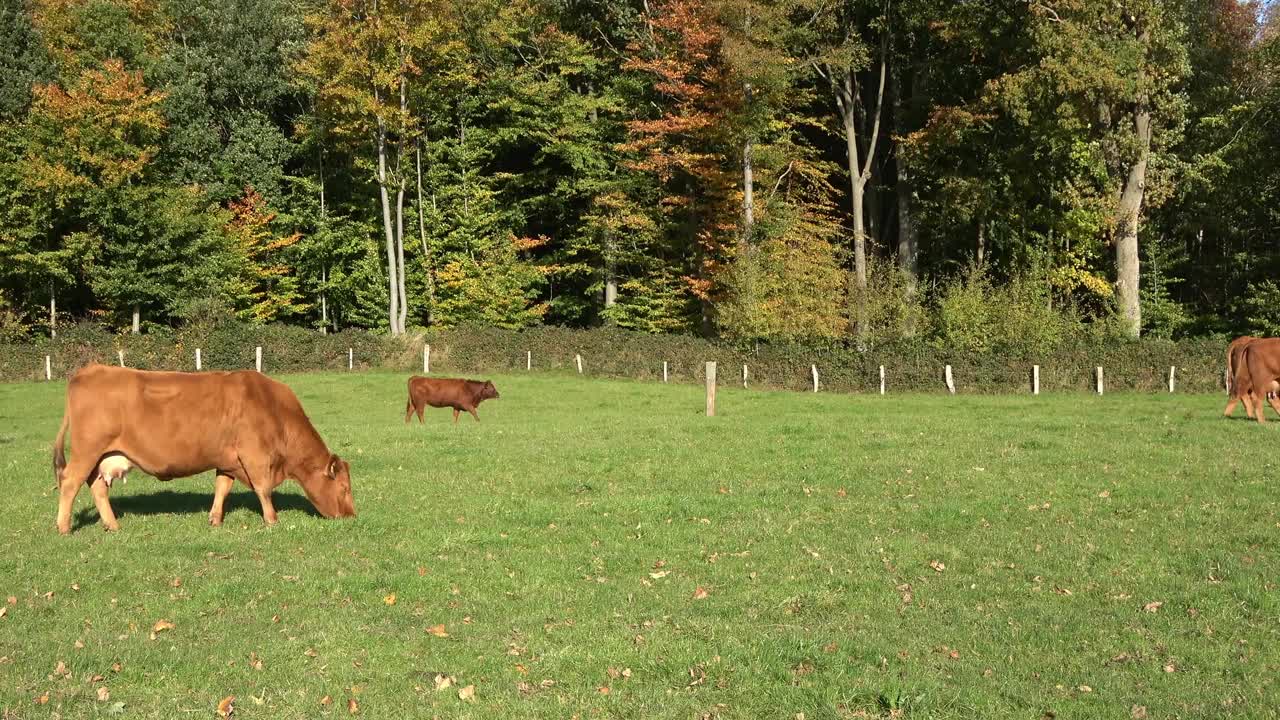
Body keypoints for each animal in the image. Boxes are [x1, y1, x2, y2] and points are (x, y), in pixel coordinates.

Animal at [51, 363, 355, 532]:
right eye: (344, 489)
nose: (351, 517)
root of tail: (91, 369)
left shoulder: (229, 460)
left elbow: (222, 488)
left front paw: (215, 519)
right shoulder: (254, 456)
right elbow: (263, 488)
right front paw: (272, 520)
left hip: (101, 457)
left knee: (97, 487)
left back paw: (112, 525)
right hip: (87, 452)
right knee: (69, 482)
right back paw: (64, 527)